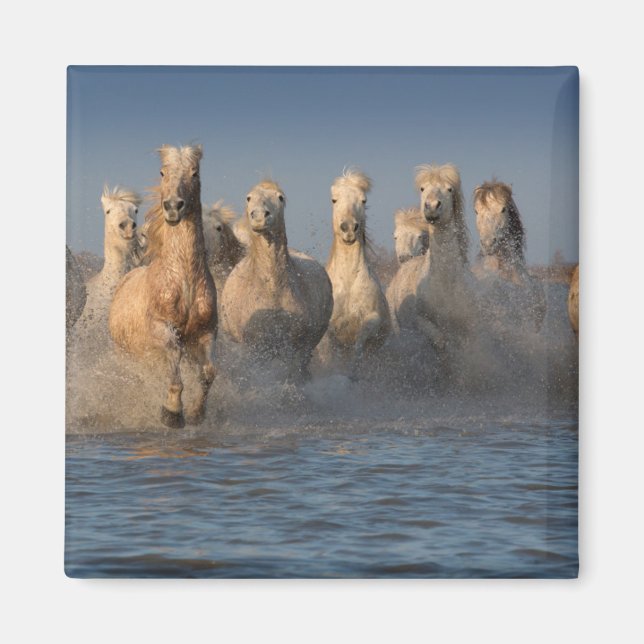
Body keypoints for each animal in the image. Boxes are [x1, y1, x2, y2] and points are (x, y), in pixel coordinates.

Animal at [109, 144, 217, 428]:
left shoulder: (206, 333)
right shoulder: (162, 329)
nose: (173, 207)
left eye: (194, 172)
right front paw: (171, 413)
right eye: (162, 172)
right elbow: (174, 363)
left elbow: (208, 372)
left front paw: (196, 413)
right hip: (128, 356)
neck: (184, 279)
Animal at [220, 180, 333, 383]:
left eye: (280, 197)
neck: (273, 291)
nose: (258, 216)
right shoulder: (256, 350)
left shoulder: (297, 348)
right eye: (248, 198)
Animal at [320, 169, 390, 374]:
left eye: (363, 200)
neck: (349, 281)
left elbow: (359, 343)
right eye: (334, 200)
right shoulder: (329, 329)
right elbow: (330, 354)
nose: (349, 228)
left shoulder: (372, 320)